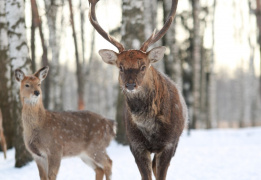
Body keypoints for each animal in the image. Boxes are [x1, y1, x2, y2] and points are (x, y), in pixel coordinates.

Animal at [88, 0, 186, 180]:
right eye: (120, 67)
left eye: (143, 66)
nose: (130, 85)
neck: (150, 129)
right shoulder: (135, 145)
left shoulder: (169, 144)